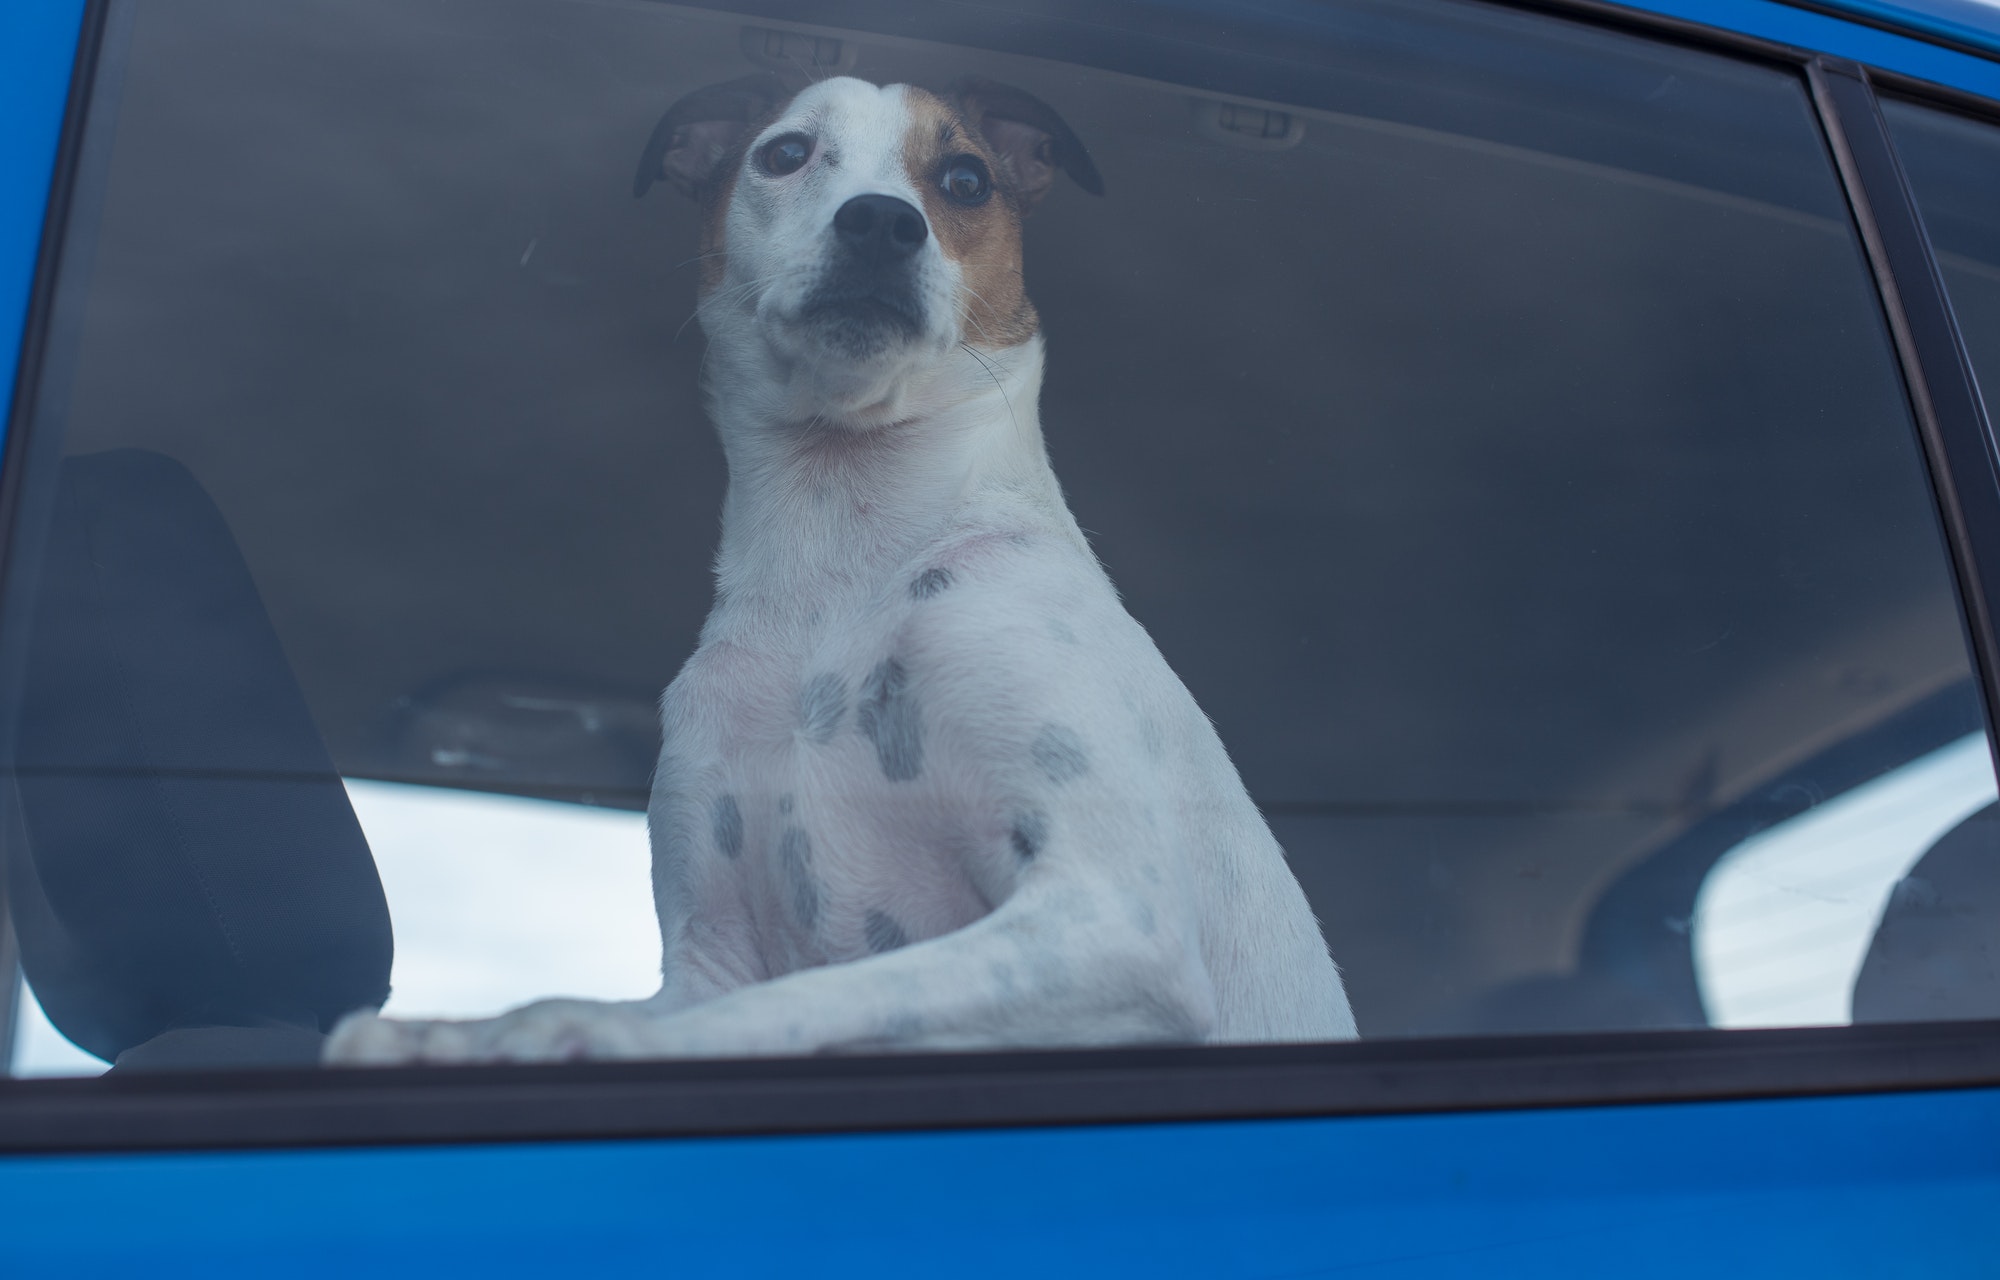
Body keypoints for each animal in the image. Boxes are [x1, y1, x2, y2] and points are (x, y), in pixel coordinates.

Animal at [328, 75, 1360, 1064]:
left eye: (966, 179)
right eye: (785, 154)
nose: (880, 222)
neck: (839, 564)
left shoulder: (1114, 918)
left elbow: (820, 997)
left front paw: (567, 1030)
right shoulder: (710, 950)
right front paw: (449, 1031)